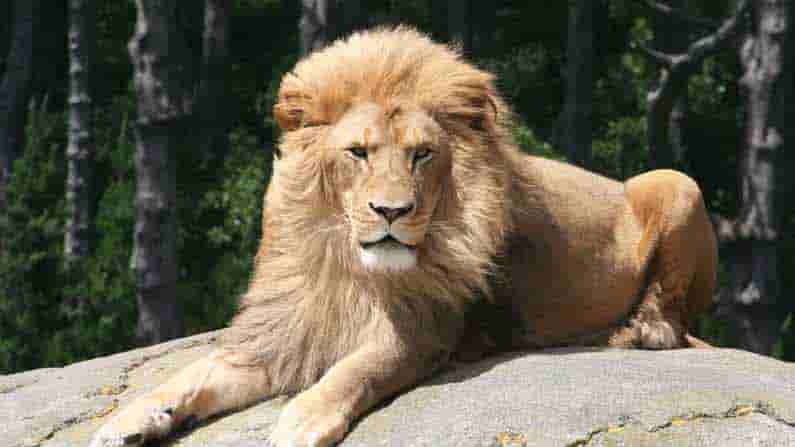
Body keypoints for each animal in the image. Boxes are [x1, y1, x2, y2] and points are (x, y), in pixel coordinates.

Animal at [91, 27, 717, 447]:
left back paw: (635, 331)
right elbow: (187, 376)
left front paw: (299, 421)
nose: (392, 211)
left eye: (421, 154)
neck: (344, 263)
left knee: (672, 319)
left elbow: (354, 370)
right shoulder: (285, 333)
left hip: (677, 182)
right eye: (358, 152)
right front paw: (125, 422)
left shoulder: (426, 330)